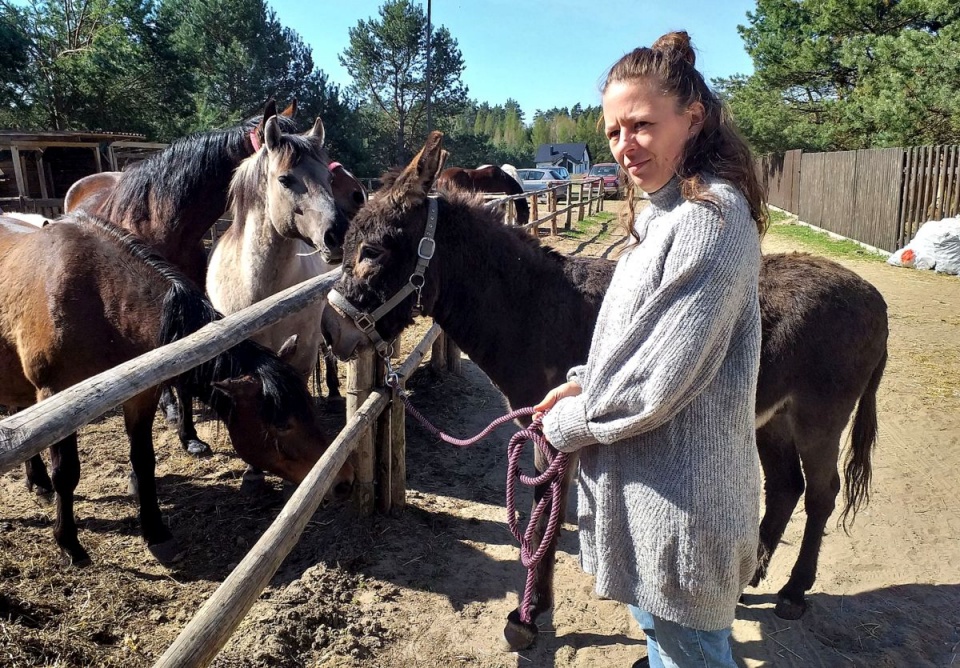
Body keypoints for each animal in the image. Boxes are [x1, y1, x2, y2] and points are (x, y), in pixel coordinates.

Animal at [0, 213, 352, 564]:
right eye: (281, 424)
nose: (343, 481)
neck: (96, 298)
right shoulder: (55, 394)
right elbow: (66, 473)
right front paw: (69, 544)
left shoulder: (139, 395)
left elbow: (143, 461)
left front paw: (156, 532)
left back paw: (37, 481)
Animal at [318, 133, 888, 648]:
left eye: (371, 251)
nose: (330, 333)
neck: (531, 307)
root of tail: (873, 295)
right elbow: (541, 520)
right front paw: (536, 607)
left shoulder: (553, 432)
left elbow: (543, 523)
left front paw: (527, 618)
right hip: (772, 418)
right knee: (787, 486)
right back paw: (753, 578)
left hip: (820, 417)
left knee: (822, 492)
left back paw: (793, 592)